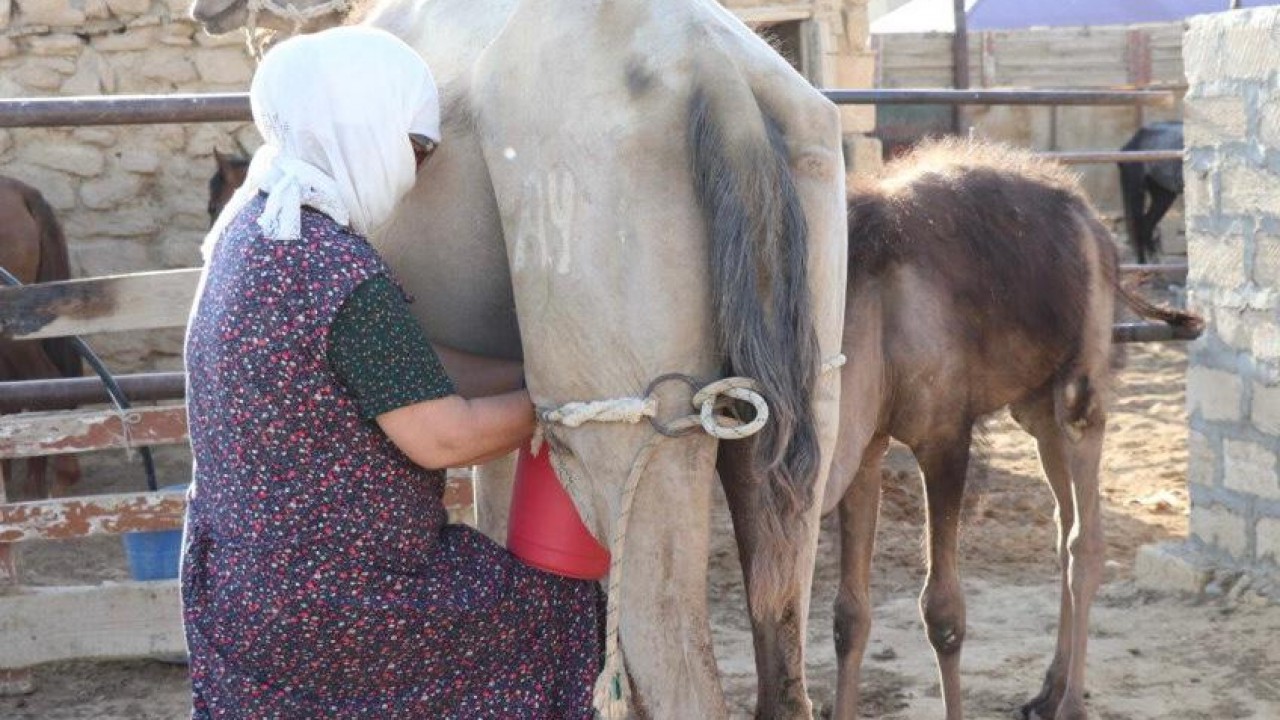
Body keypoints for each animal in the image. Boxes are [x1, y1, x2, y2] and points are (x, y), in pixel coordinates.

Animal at [732, 140, 1198, 717]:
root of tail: (1095, 223)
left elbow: (944, 614)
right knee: (1062, 523)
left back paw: (1070, 703)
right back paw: (1046, 690)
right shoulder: (867, 445)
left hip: (1080, 385)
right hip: (1034, 407)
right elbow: (849, 616)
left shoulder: (945, 439)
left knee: (1084, 540)